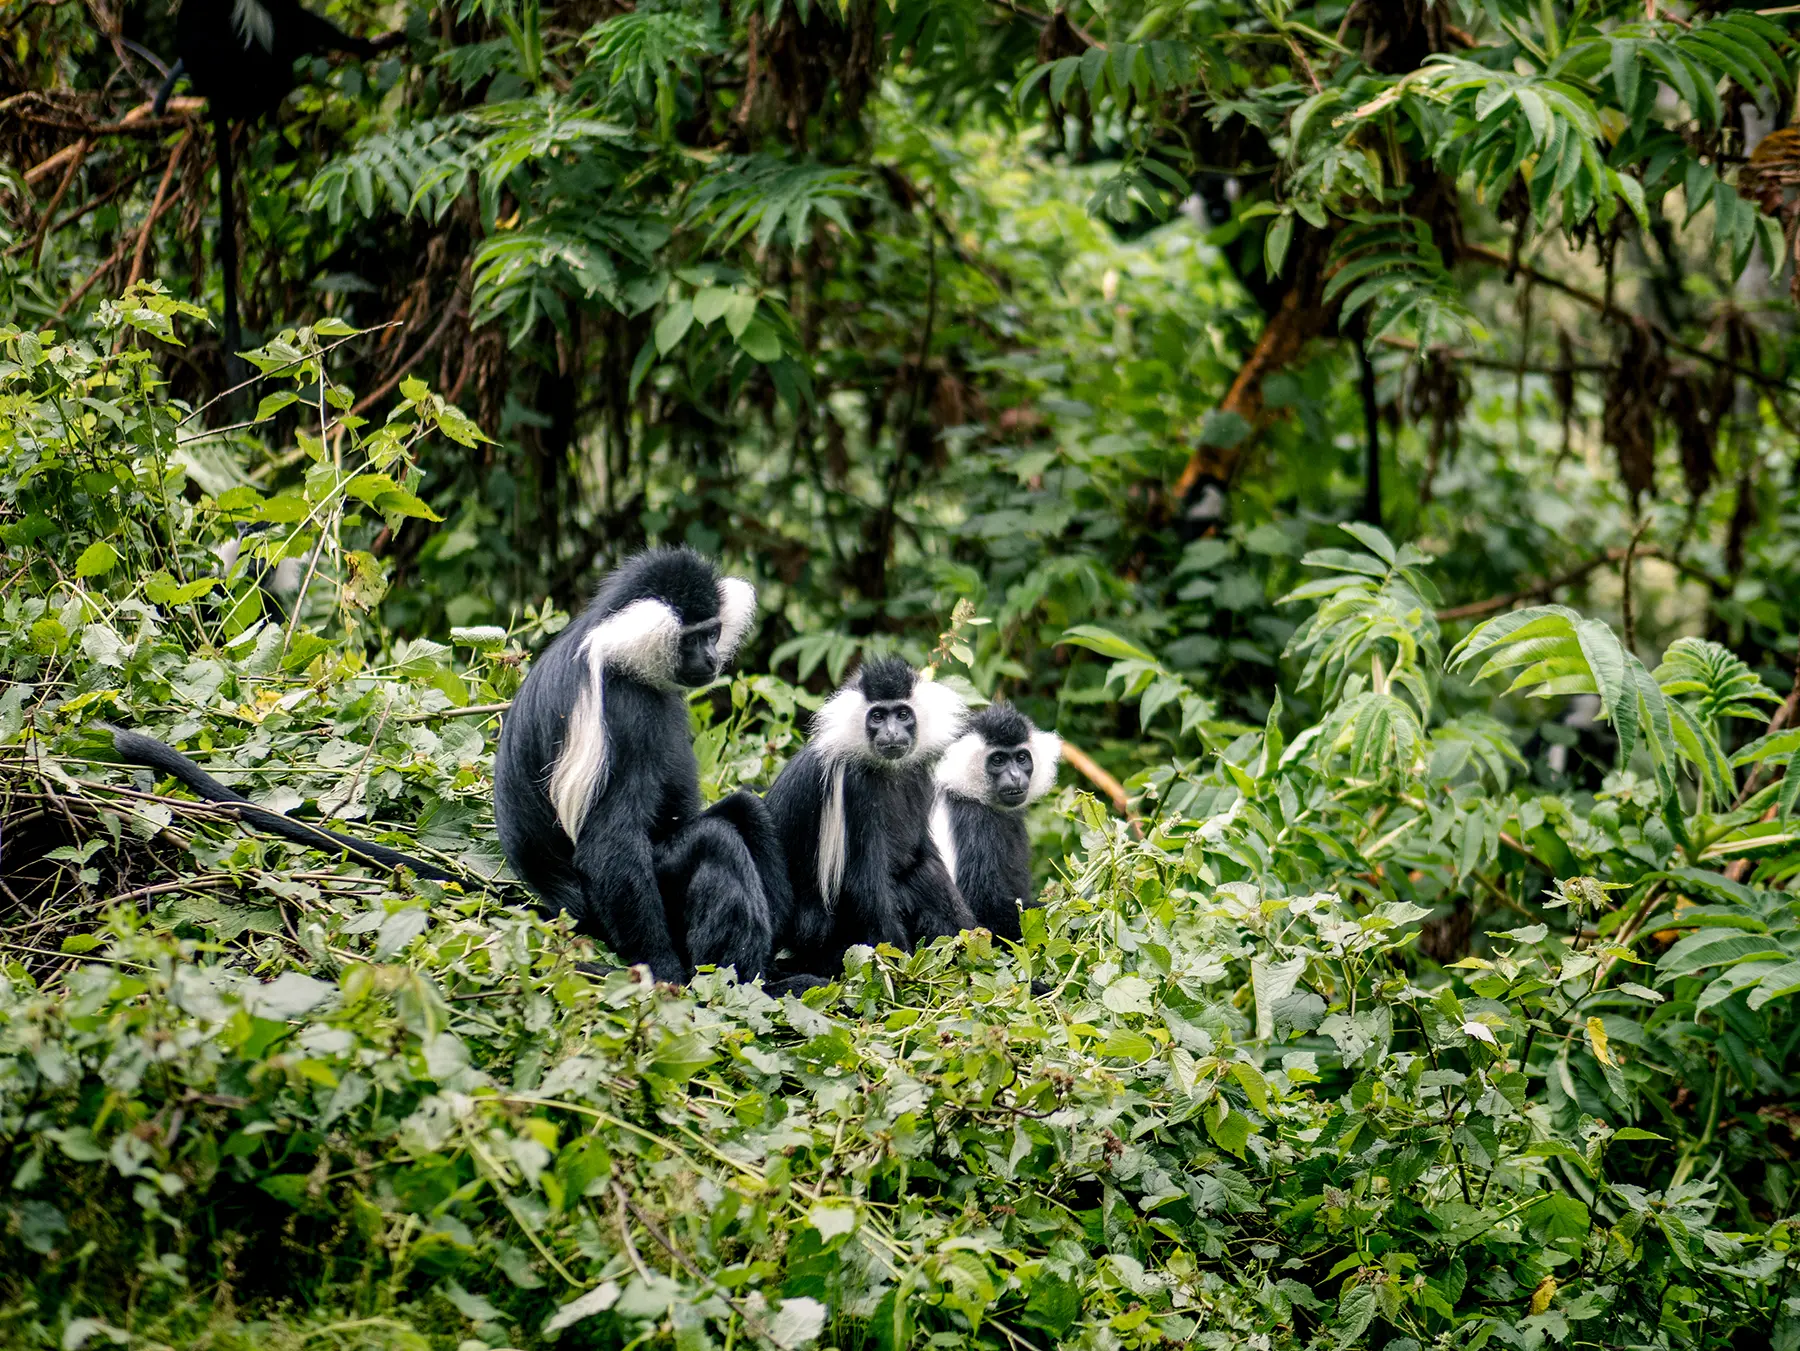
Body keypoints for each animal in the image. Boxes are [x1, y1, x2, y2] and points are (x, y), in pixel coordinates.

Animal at [493, 547, 789, 985]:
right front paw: (662, 970)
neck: (618, 648)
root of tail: (563, 908)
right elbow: (611, 843)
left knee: (744, 809)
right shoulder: (624, 714)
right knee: (713, 842)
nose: (711, 659)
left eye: (713, 632)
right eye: (692, 638)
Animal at [762, 658, 972, 980]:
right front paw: (901, 969)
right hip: (815, 933)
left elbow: (926, 856)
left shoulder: (917, 776)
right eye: (877, 716)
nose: (892, 733)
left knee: (921, 872)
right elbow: (865, 883)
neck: (883, 768)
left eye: (902, 714)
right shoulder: (853, 788)